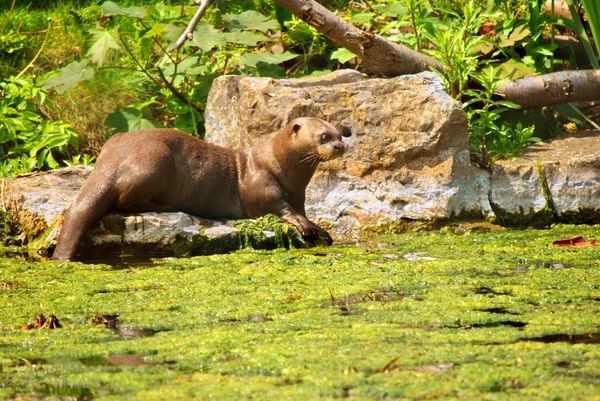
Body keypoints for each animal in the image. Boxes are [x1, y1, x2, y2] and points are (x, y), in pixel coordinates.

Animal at [54, 116, 344, 260]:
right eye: (324, 137)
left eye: (342, 133)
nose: (341, 146)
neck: (282, 164)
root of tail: (111, 160)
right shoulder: (262, 185)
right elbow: (280, 209)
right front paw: (307, 227)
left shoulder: (299, 195)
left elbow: (302, 210)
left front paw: (320, 228)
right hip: (155, 160)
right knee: (125, 201)